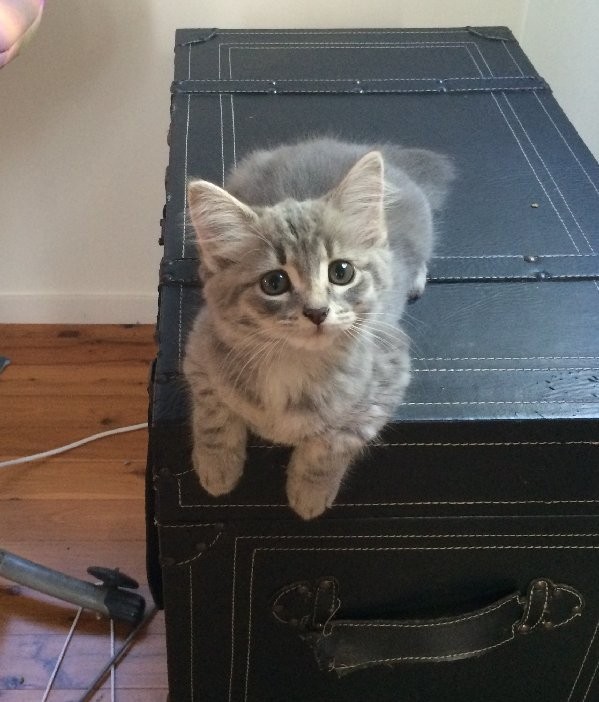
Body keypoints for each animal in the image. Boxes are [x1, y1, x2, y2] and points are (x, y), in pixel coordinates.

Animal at [183, 138, 454, 519]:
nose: (317, 311)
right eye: (274, 282)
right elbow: (213, 416)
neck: (292, 364)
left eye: (341, 272)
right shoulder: (200, 348)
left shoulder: (387, 377)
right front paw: (217, 468)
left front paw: (309, 493)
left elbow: (331, 444)